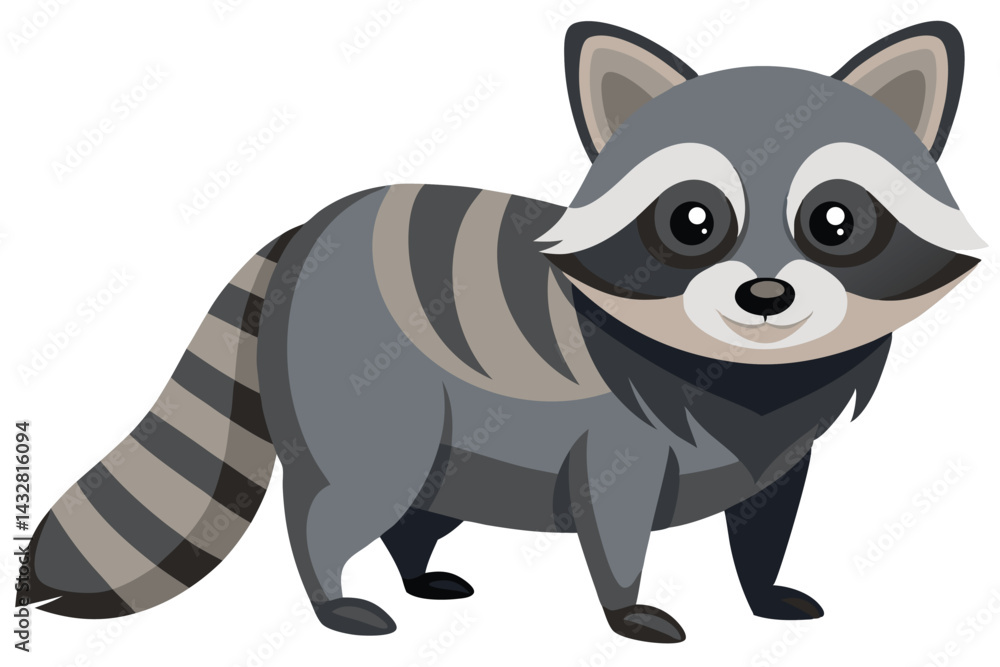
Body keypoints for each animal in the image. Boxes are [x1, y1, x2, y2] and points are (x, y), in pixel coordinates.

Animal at [21, 21, 985, 644]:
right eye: (691, 221)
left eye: (835, 222)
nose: (766, 295)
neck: (745, 370)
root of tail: (309, 228)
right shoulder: (621, 432)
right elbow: (615, 512)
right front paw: (624, 606)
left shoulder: (784, 439)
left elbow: (767, 513)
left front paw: (762, 589)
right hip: (365, 389)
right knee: (345, 496)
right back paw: (333, 595)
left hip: (453, 442)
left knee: (419, 505)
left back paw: (415, 568)